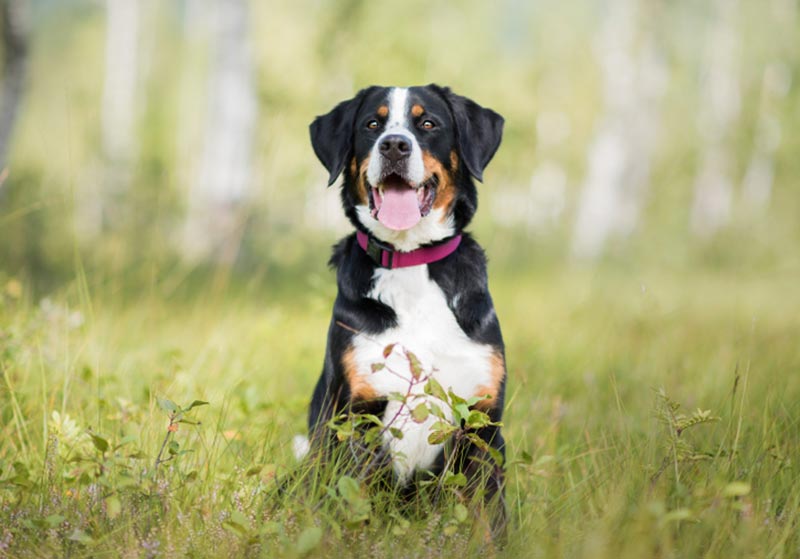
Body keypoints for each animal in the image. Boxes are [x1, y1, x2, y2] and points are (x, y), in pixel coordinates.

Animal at [304, 84, 510, 532]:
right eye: (372, 124)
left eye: (428, 123)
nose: (395, 145)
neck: (411, 261)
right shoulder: (356, 417)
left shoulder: (483, 423)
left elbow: (491, 523)